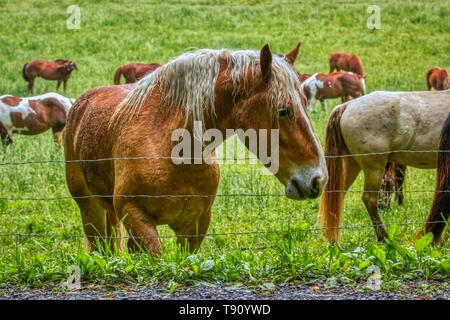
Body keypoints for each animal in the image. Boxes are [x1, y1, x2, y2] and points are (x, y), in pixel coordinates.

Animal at [64, 43, 326, 256]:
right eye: (284, 111)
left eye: (305, 103)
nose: (317, 179)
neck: (171, 148)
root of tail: (81, 103)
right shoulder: (136, 216)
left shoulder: (195, 225)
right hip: (90, 209)